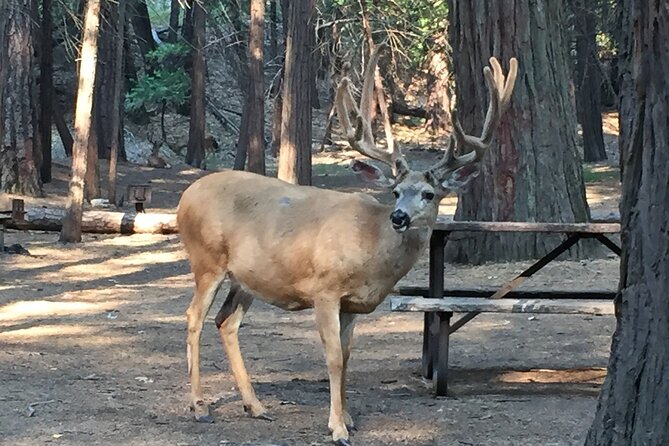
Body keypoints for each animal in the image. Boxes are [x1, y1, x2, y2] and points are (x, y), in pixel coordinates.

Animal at [176, 46, 516, 446]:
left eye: (429, 194)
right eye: (396, 191)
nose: (399, 217)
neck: (371, 248)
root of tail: (185, 197)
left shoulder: (353, 304)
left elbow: (349, 356)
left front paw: (350, 418)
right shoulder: (324, 289)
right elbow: (334, 357)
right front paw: (337, 428)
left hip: (245, 279)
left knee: (226, 322)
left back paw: (256, 407)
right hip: (206, 261)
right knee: (194, 317)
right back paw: (199, 407)